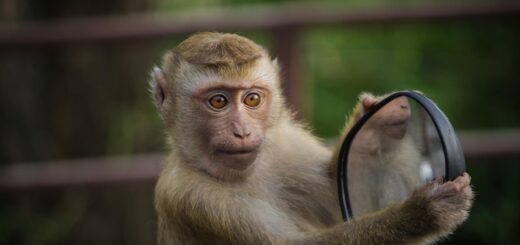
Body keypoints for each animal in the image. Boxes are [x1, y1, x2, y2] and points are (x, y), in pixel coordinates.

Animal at [148, 32, 474, 243]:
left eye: (252, 99)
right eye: (218, 102)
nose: (242, 131)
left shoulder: (285, 145)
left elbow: (340, 194)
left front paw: (375, 127)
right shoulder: (194, 198)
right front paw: (418, 214)